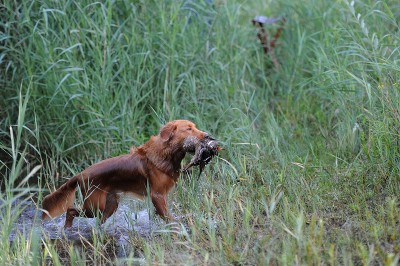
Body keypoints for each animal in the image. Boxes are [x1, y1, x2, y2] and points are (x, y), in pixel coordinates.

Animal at [41, 119, 209, 228]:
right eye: (189, 129)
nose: (207, 136)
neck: (167, 153)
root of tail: (80, 174)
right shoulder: (157, 195)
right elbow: (168, 216)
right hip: (94, 206)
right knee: (70, 210)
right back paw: (67, 229)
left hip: (110, 204)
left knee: (97, 220)